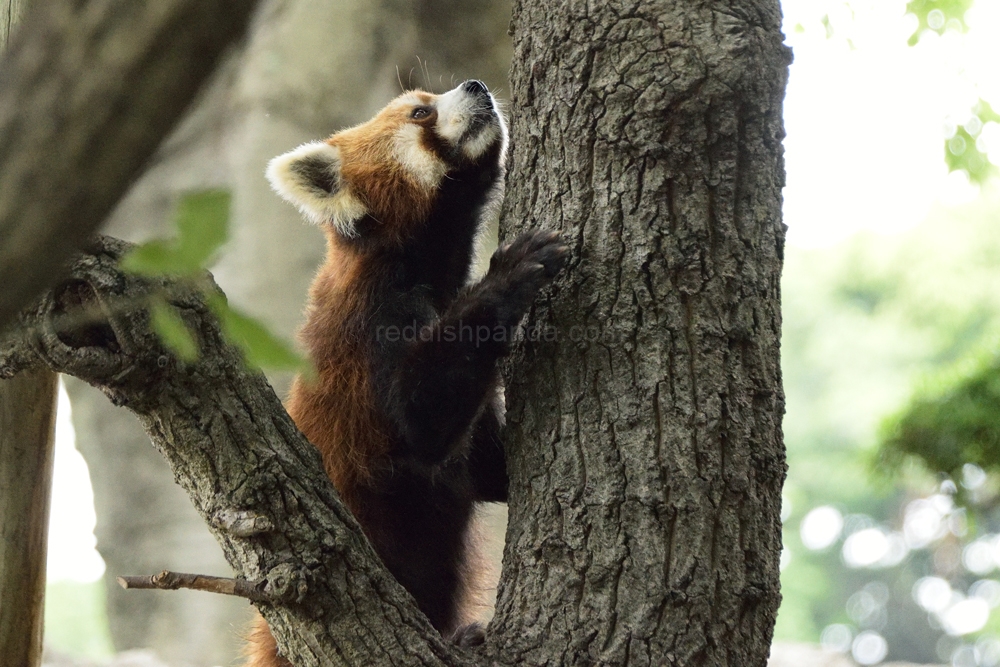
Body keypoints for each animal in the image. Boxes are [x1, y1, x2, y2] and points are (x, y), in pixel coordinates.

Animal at [246, 81, 568, 664]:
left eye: (427, 96)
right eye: (420, 112)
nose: (475, 85)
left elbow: (488, 470)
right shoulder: (374, 326)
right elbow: (423, 422)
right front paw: (509, 276)